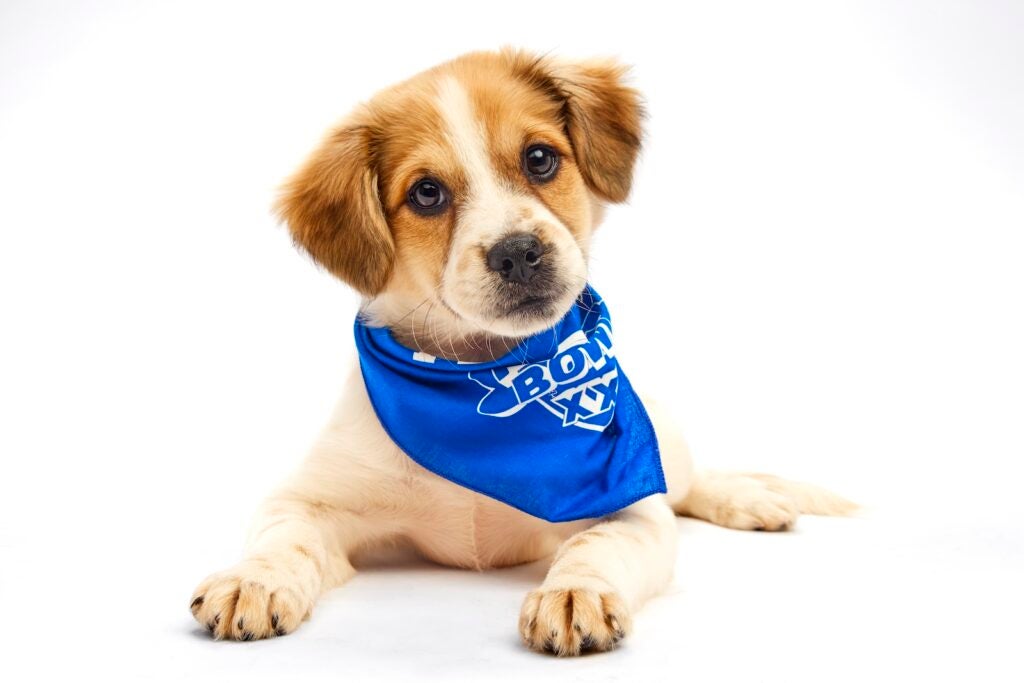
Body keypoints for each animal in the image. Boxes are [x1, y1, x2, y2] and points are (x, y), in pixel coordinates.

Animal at [186, 48, 856, 655]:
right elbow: (282, 540)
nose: (517, 253)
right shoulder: (307, 497)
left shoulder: (633, 507)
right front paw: (252, 580)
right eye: (426, 193)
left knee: (691, 481)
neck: (487, 372)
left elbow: (596, 543)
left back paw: (748, 497)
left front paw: (575, 592)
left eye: (539, 158)